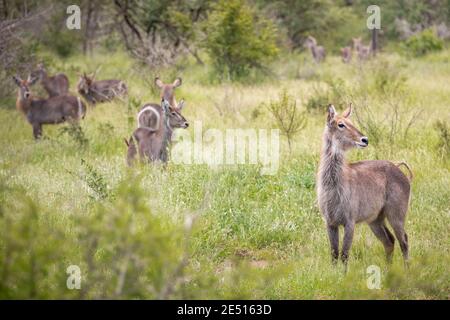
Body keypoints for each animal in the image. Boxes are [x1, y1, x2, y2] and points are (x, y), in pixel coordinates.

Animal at [316, 104, 412, 268]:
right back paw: (388, 270)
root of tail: (401, 172)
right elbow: (334, 254)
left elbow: (344, 254)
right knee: (389, 241)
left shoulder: (350, 222)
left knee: (404, 240)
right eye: (341, 124)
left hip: (396, 214)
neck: (333, 185)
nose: (365, 139)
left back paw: (406, 270)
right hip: (375, 219)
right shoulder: (330, 222)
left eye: (352, 122)